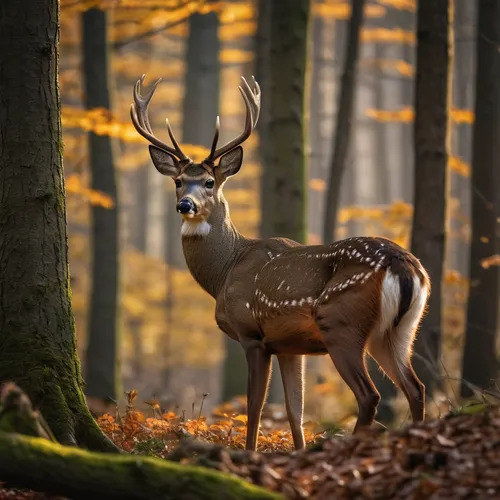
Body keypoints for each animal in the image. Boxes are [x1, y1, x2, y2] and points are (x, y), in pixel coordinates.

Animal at [132, 74, 430, 454]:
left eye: (210, 182)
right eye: (178, 181)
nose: (185, 204)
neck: (225, 271)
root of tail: (403, 266)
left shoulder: (252, 334)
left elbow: (254, 407)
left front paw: (250, 453)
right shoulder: (292, 346)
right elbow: (294, 411)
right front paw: (297, 449)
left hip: (341, 324)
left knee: (371, 395)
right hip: (399, 330)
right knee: (415, 388)